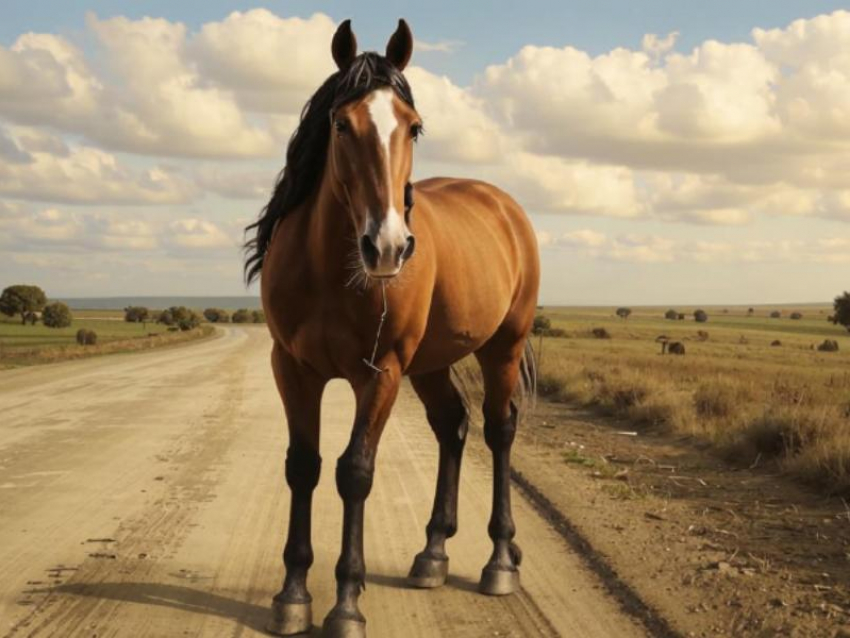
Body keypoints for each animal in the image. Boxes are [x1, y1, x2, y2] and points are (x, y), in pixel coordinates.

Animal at [243, 17, 536, 636]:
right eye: (339, 123)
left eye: (415, 128)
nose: (389, 246)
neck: (330, 269)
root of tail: (504, 206)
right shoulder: (293, 368)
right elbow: (303, 467)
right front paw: (292, 594)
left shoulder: (379, 374)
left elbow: (355, 471)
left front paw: (346, 602)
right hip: (431, 364)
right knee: (452, 426)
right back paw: (433, 553)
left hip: (500, 348)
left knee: (499, 430)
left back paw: (500, 561)